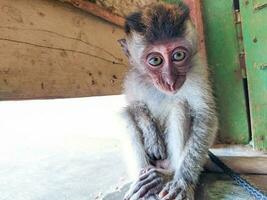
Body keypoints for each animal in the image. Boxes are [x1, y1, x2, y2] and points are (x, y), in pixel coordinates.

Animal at [119, 1, 218, 200]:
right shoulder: (133, 78)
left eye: (178, 55)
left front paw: (182, 182)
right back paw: (144, 181)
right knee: (126, 114)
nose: (170, 80)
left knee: (179, 105)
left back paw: (168, 174)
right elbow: (135, 105)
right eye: (156, 60)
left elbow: (205, 117)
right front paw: (151, 135)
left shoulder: (197, 71)